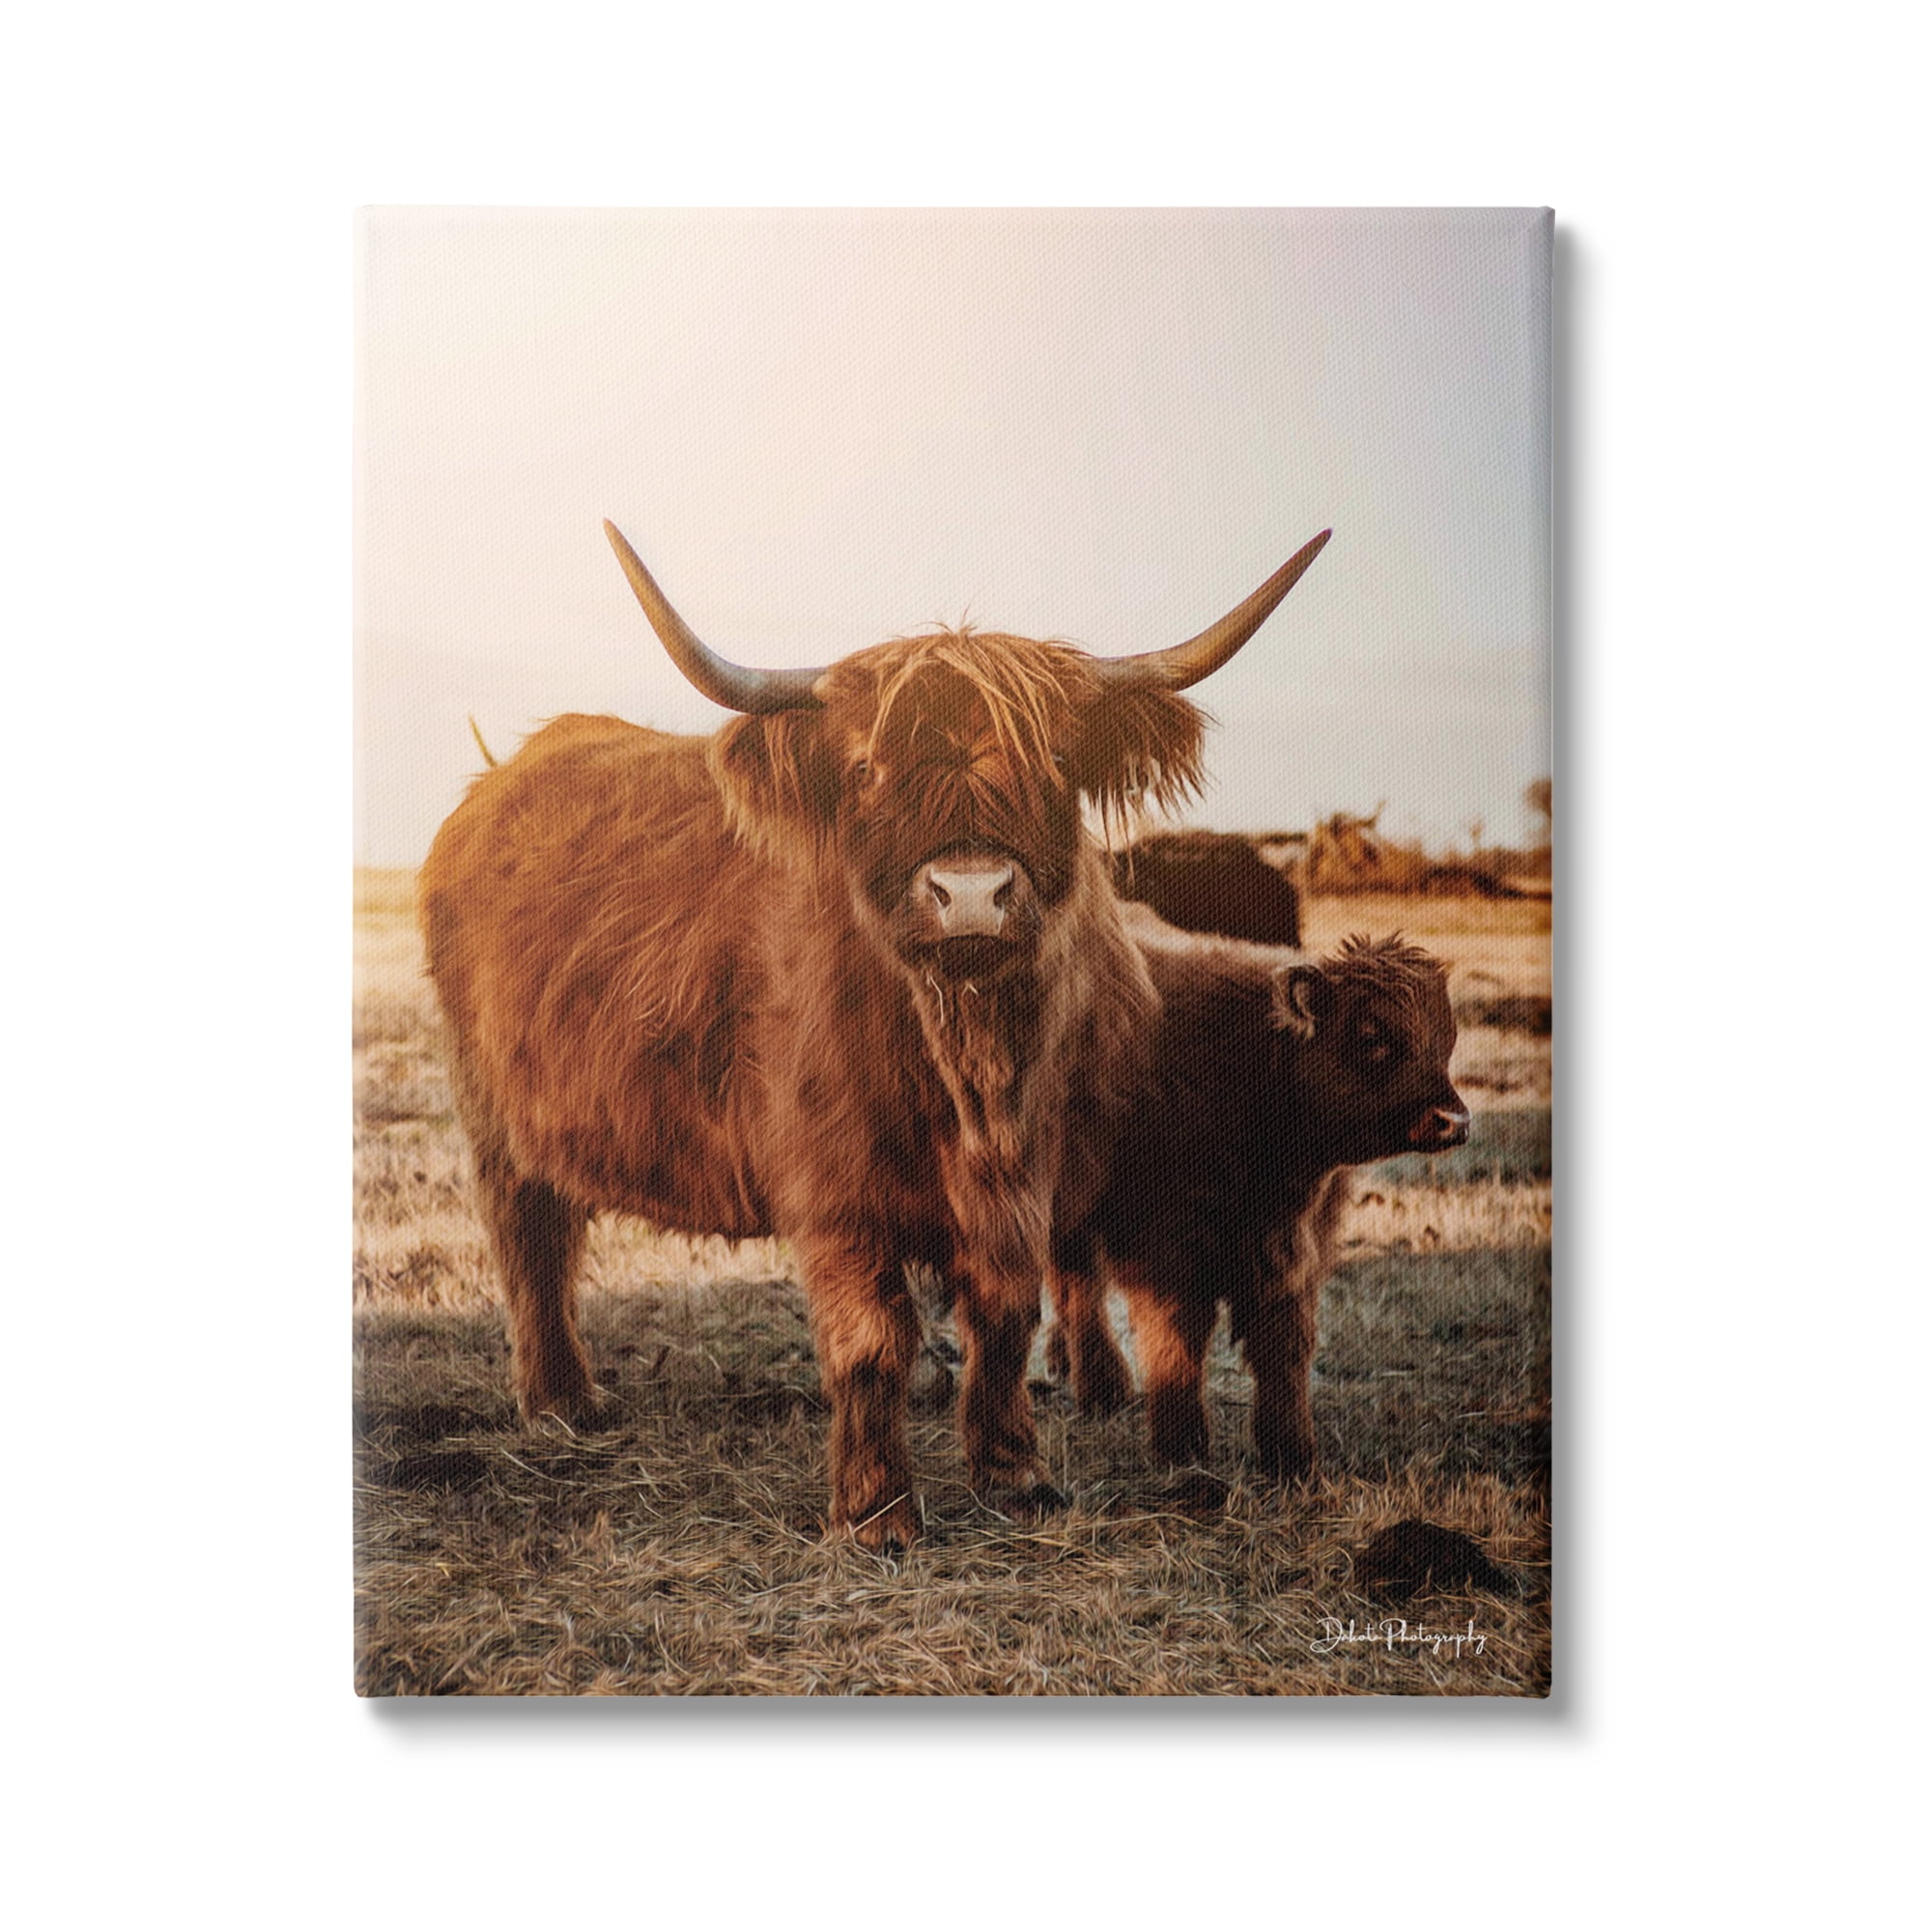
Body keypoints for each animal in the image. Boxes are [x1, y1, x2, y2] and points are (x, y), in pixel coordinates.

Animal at [1046, 932, 1468, 1480]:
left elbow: (1284, 1346)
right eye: (1372, 1036)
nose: (1454, 1121)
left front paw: (1291, 1454)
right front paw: (1181, 1447)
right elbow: (1176, 1338)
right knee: (1079, 1289)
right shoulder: (1166, 1251)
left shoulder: (1291, 1252)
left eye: (1446, 1039)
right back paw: (1102, 1388)